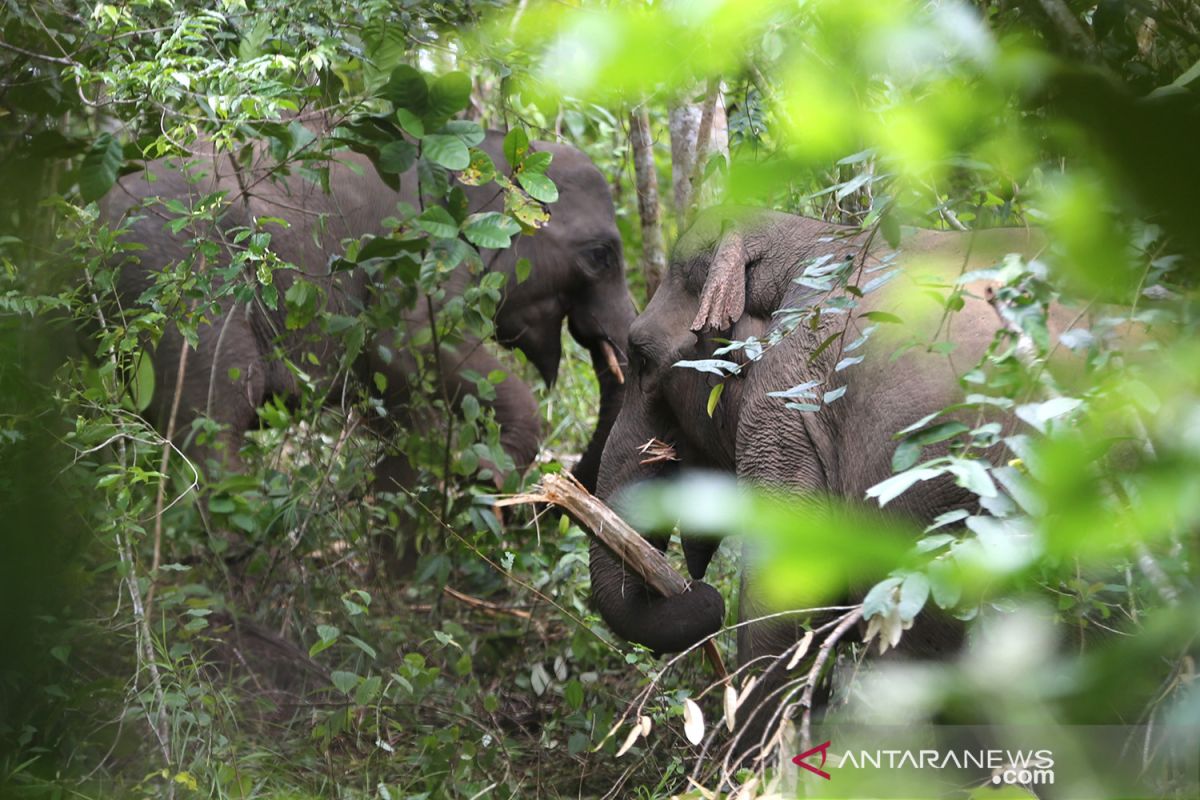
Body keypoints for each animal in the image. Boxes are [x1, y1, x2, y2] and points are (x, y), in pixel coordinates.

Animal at [103, 130, 638, 537]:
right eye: (601, 255)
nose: (531, 507)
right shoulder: (419, 259)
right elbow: (405, 346)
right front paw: (487, 478)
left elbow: (400, 412)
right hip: (182, 285)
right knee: (221, 407)